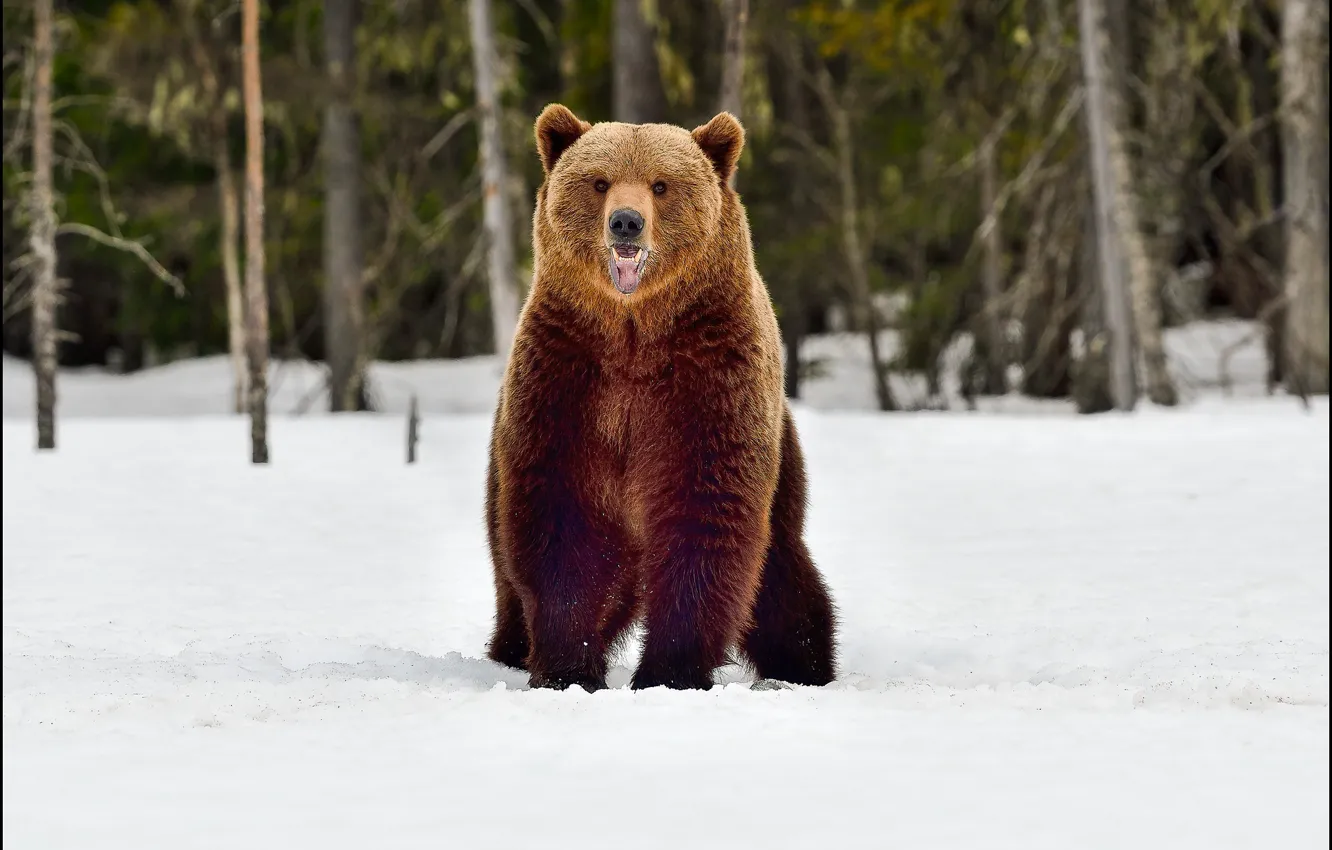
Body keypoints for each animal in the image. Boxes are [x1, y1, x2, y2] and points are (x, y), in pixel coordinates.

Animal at [484, 103, 837, 691]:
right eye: (599, 182)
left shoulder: (707, 384)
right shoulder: (567, 381)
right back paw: (510, 649)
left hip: (782, 465)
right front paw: (569, 666)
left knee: (780, 573)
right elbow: (562, 520)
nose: (626, 221)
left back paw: (804, 664)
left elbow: (705, 514)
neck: (634, 334)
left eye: (662, 184)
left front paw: (670, 672)